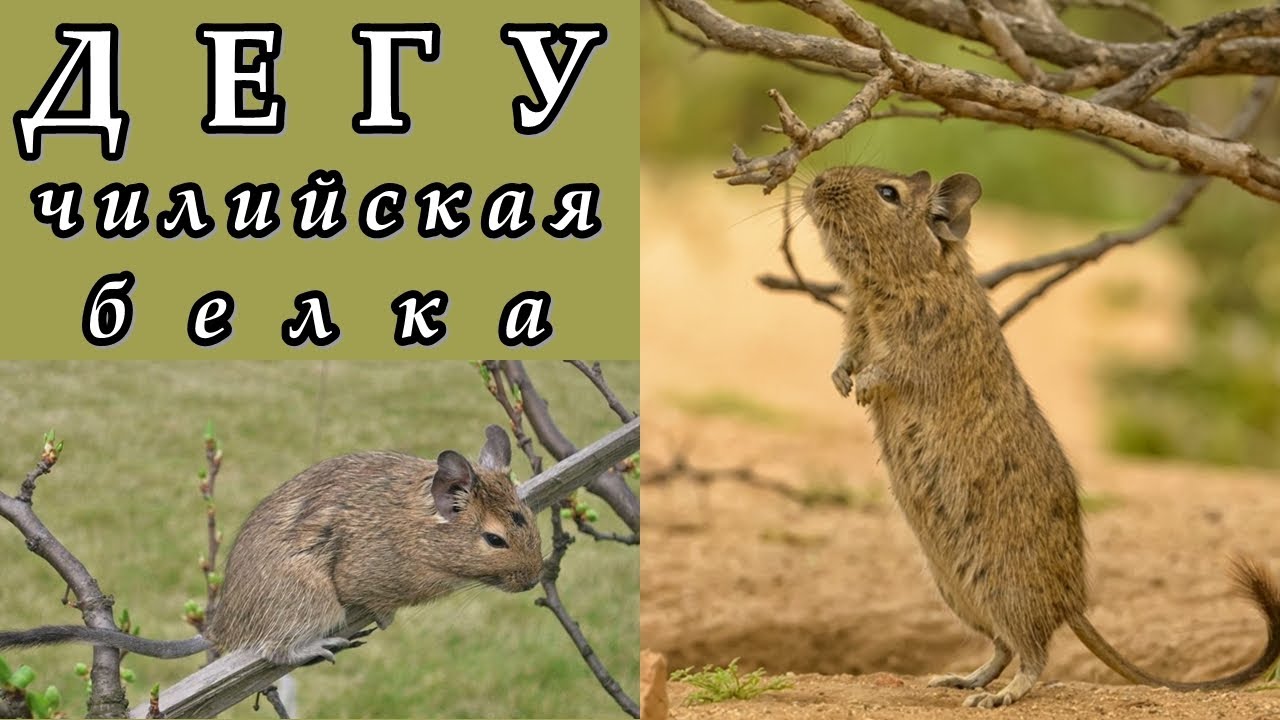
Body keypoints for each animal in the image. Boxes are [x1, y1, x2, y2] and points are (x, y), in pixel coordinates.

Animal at [0, 424, 543, 666]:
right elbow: (374, 600)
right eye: (494, 539)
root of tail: (220, 630)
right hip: (310, 600)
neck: (422, 527)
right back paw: (316, 646)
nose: (536, 578)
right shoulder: (366, 575)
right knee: (274, 652)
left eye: (530, 525)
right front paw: (385, 616)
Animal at [803, 164, 1280, 708]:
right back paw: (961, 680)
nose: (814, 182)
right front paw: (841, 381)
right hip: (960, 593)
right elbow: (847, 355)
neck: (896, 282)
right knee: (1004, 648)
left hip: (1006, 590)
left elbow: (888, 370)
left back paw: (997, 697)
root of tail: (1070, 602)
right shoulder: (856, 328)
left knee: (1034, 654)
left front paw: (862, 389)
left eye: (889, 193)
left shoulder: (922, 354)